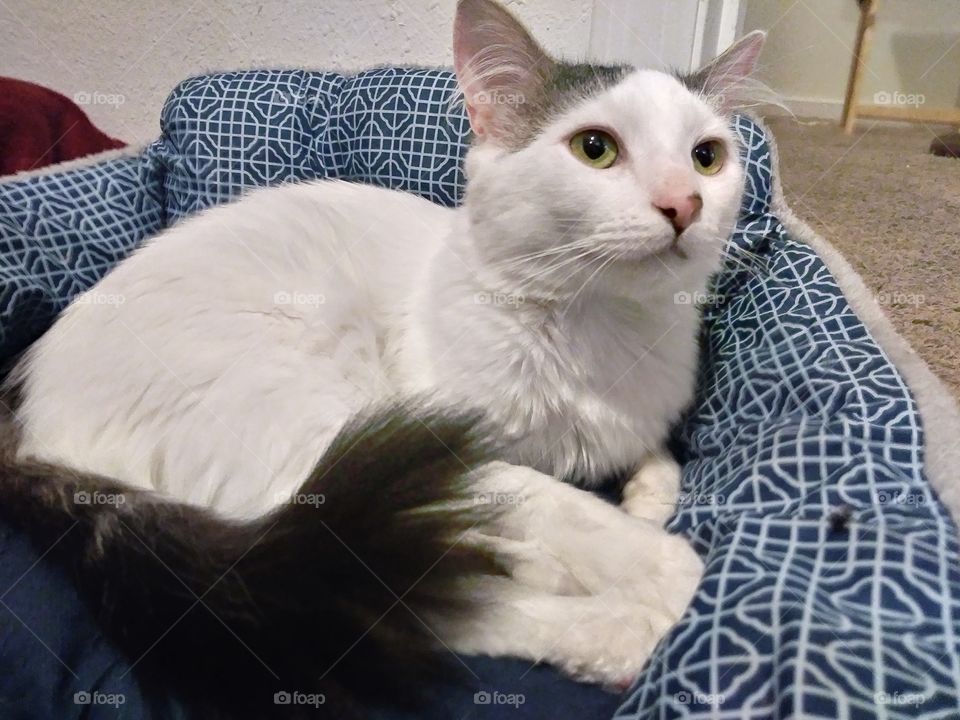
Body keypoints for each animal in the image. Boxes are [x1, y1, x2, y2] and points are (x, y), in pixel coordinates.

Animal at [1, 0, 764, 716]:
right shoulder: (445, 440)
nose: (684, 203)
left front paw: (646, 501)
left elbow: (656, 462)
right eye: (596, 149)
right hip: (310, 425)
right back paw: (614, 628)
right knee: (376, 598)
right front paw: (663, 568)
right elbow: (568, 507)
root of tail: (29, 414)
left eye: (706, 158)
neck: (599, 327)